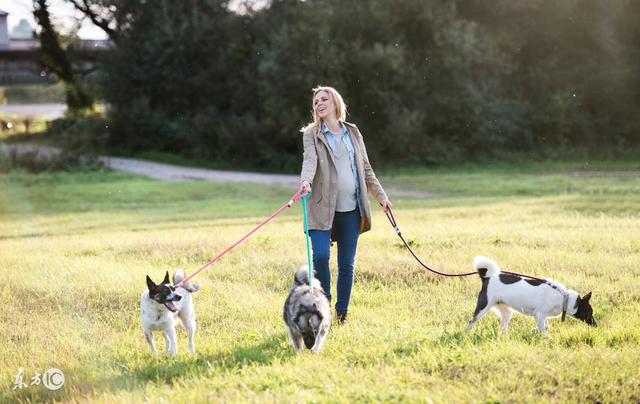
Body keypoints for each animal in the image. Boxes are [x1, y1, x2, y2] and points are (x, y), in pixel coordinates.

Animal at [464, 258, 596, 332]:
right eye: (590, 312)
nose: (596, 325)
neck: (565, 298)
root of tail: (487, 277)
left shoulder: (540, 316)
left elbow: (545, 327)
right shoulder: (540, 314)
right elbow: (543, 330)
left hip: (506, 312)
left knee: (503, 327)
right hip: (483, 307)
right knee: (471, 322)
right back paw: (467, 334)